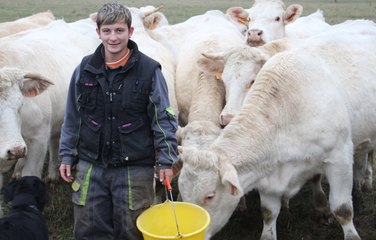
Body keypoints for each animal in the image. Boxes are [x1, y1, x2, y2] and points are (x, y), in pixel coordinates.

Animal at [178, 19, 376, 239]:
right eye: (182, 194)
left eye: (210, 196)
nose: (227, 117)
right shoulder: (267, 171)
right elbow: (268, 213)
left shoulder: (339, 156)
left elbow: (342, 209)